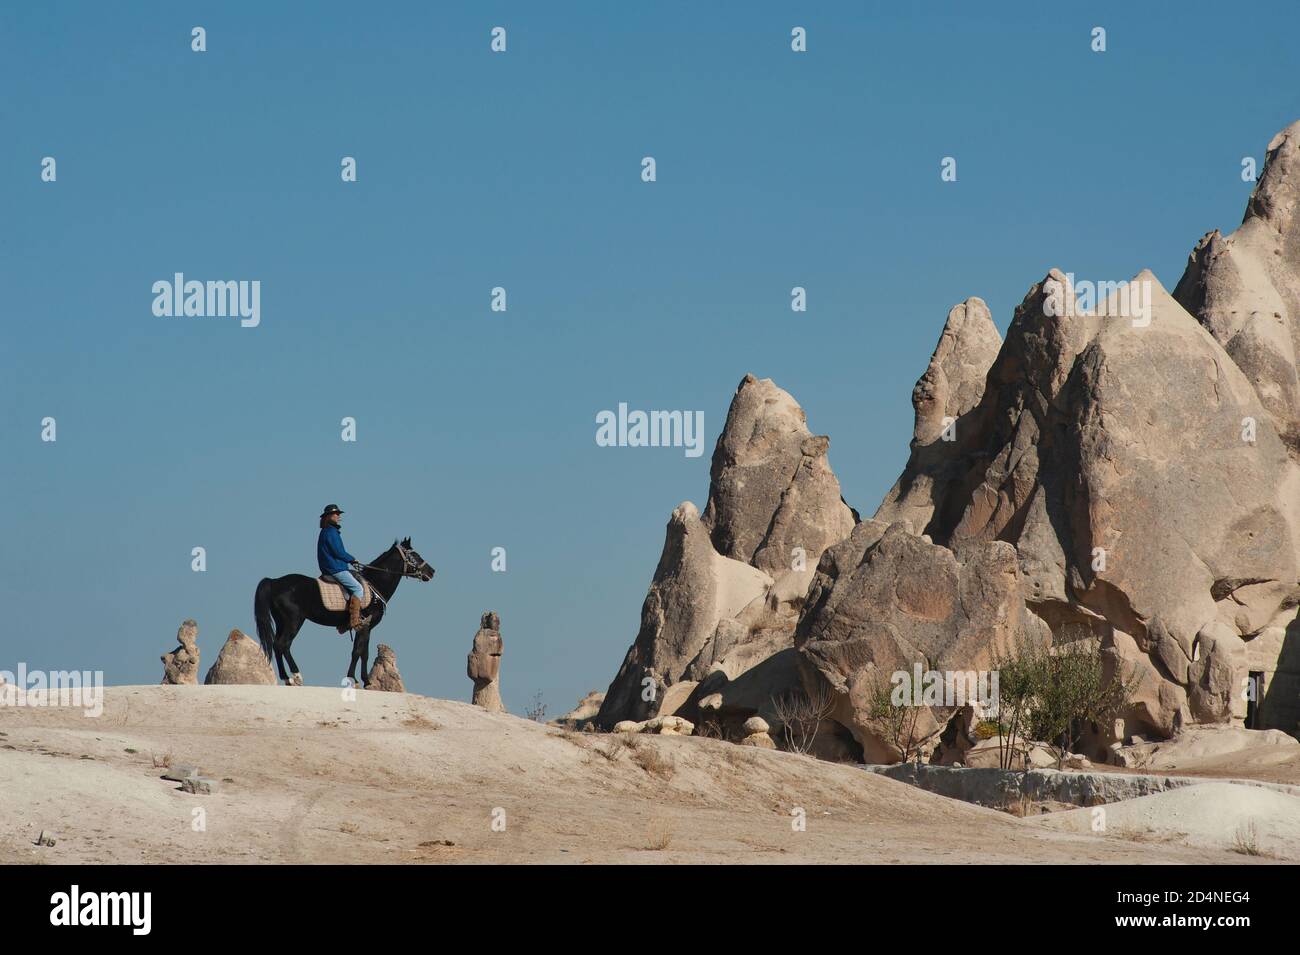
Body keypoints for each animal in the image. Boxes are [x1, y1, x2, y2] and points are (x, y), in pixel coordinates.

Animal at [250, 537, 434, 686]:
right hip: (294, 621)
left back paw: (286, 678)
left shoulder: (365, 627)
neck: (374, 585)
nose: (432, 571)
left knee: (276, 645)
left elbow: (363, 652)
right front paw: (357, 680)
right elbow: (358, 652)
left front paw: (363, 680)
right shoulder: (365, 626)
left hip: (281, 622)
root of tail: (274, 582)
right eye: (415, 555)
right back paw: (296, 676)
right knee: (283, 644)